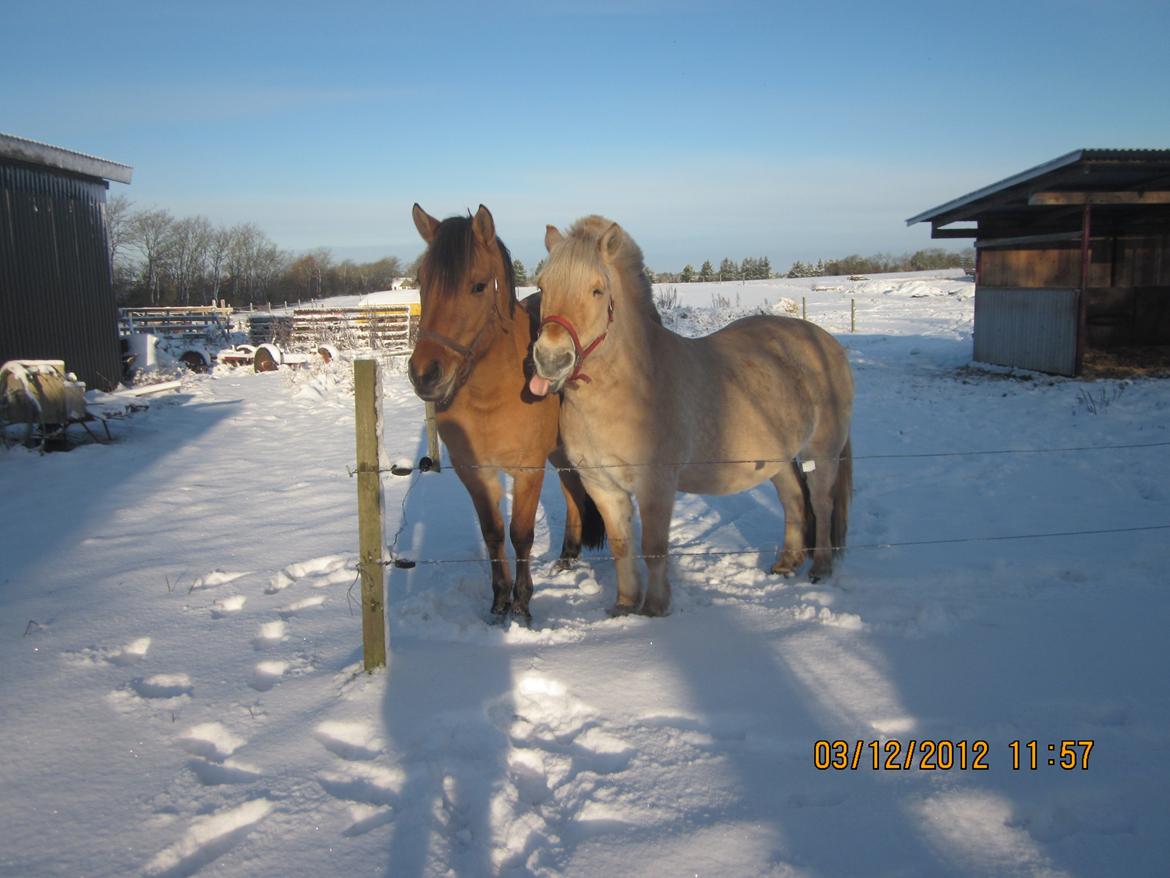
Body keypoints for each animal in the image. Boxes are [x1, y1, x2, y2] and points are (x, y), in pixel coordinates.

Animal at [407, 204, 603, 627]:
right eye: (421, 281)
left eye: (479, 286)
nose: (425, 374)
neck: (490, 395)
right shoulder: (475, 473)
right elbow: (494, 533)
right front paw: (499, 602)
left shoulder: (527, 470)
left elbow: (521, 534)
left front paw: (522, 605)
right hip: (560, 451)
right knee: (573, 491)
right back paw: (567, 556)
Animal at [531, 217, 851, 618]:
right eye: (542, 286)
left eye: (597, 290)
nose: (550, 359)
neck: (630, 384)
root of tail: (826, 341)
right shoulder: (602, 485)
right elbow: (622, 546)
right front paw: (624, 605)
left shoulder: (657, 485)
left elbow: (653, 548)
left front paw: (654, 607)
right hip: (776, 459)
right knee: (794, 500)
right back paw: (785, 564)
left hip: (821, 453)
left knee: (821, 504)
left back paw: (820, 567)